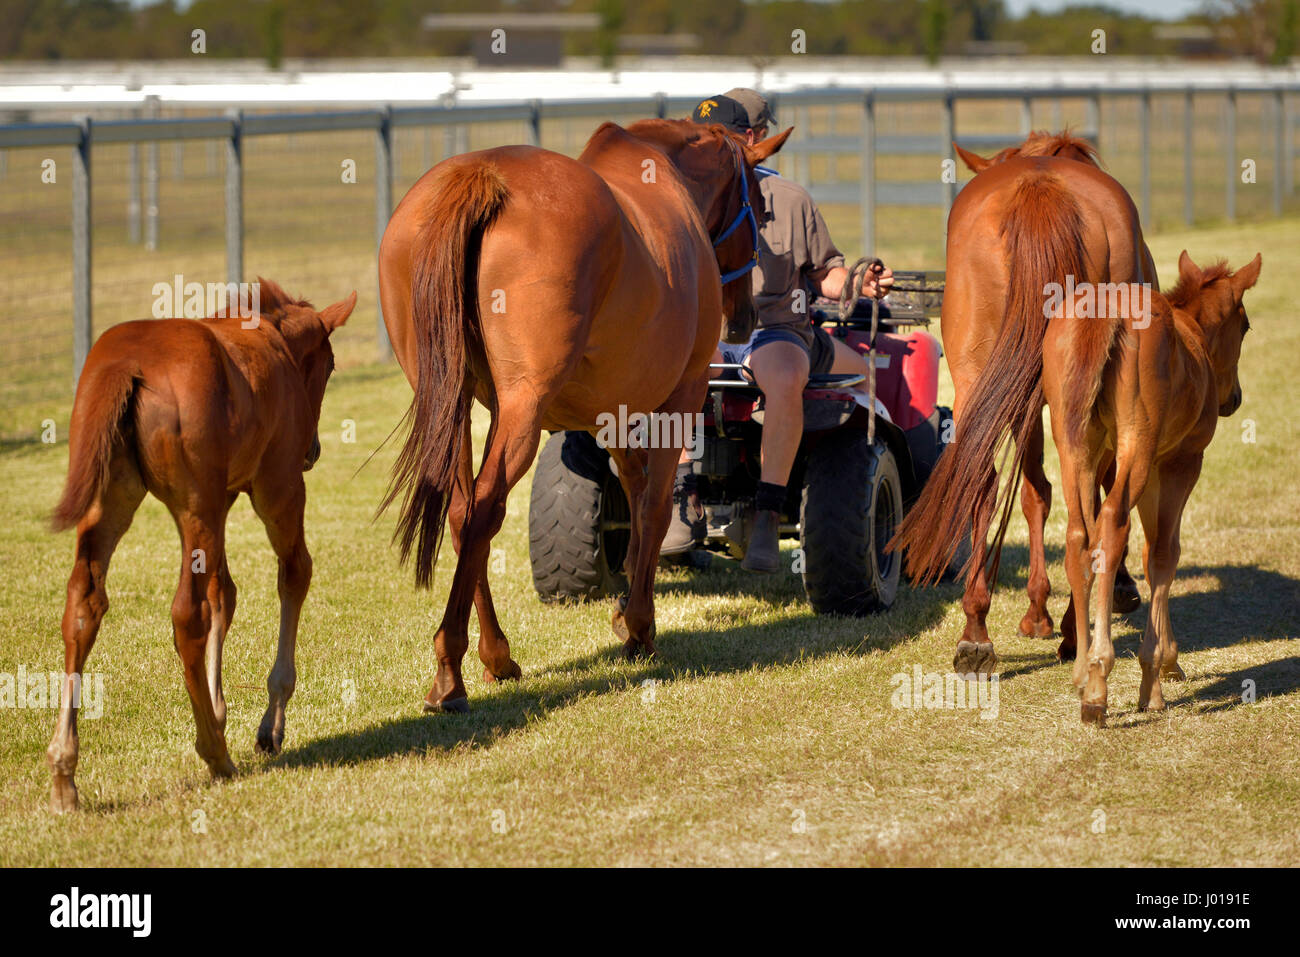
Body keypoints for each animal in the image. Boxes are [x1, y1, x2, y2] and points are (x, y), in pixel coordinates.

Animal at [45, 280, 353, 811]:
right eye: (329, 365)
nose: (312, 450)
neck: (268, 340)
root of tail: (127, 363)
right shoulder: (277, 488)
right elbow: (294, 573)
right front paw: (269, 724)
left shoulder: (222, 499)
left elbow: (224, 594)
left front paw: (219, 707)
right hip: (199, 507)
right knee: (187, 613)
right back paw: (215, 752)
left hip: (118, 502)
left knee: (85, 603)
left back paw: (66, 771)